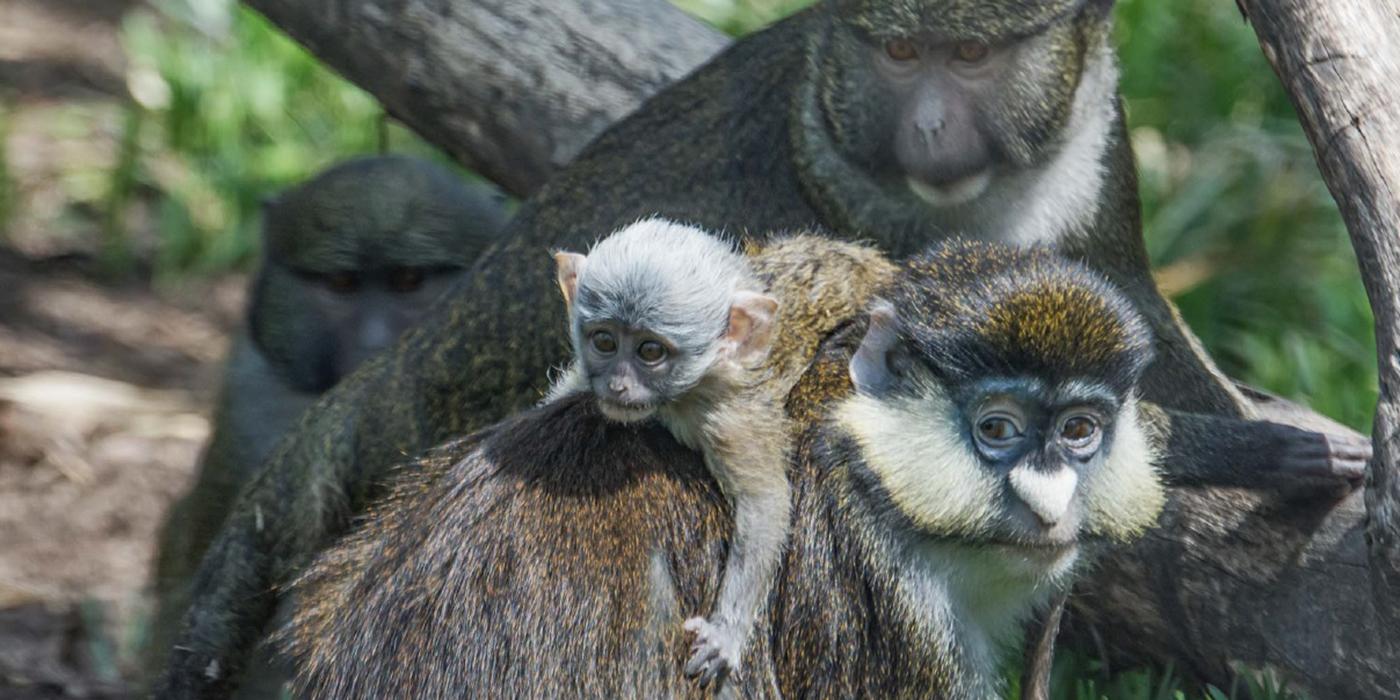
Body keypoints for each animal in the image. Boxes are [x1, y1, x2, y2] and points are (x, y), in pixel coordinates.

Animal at [546, 215, 789, 686]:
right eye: (605, 342)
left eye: (650, 350)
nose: (618, 385)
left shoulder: (724, 415)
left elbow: (764, 502)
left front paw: (725, 632)